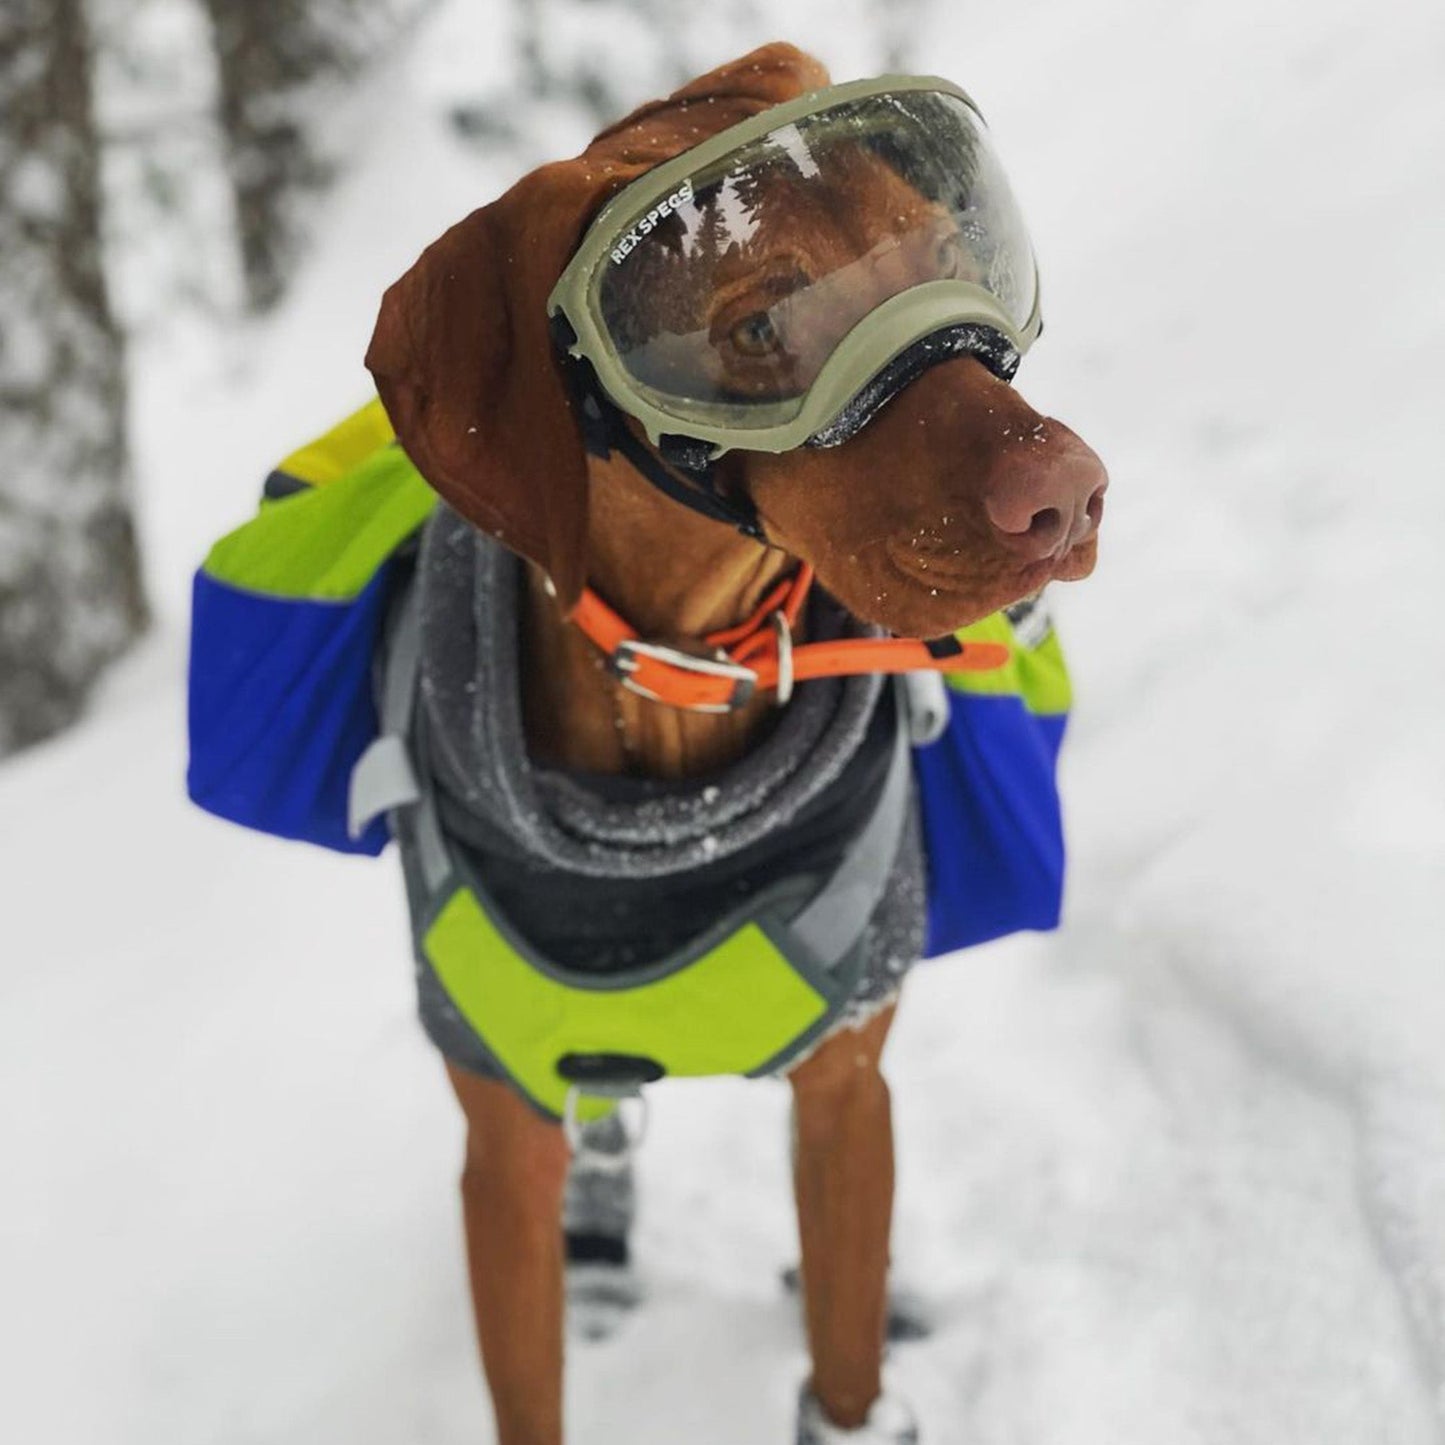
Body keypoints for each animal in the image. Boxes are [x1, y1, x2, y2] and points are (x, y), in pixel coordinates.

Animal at [367, 39, 1098, 1445]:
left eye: (945, 247)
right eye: (755, 327)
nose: (1068, 493)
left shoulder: (846, 1094)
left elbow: (846, 1360)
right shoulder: (501, 1143)